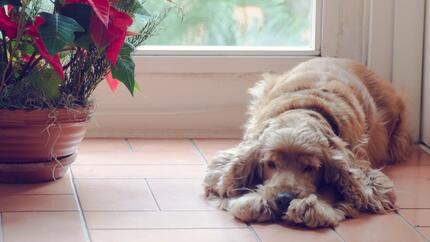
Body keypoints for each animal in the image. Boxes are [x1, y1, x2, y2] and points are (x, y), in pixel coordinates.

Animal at [203, 57, 412, 228]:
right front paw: (255, 201)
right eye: (270, 164)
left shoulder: (363, 170)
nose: (283, 199)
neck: (306, 108)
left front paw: (312, 207)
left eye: (310, 168)